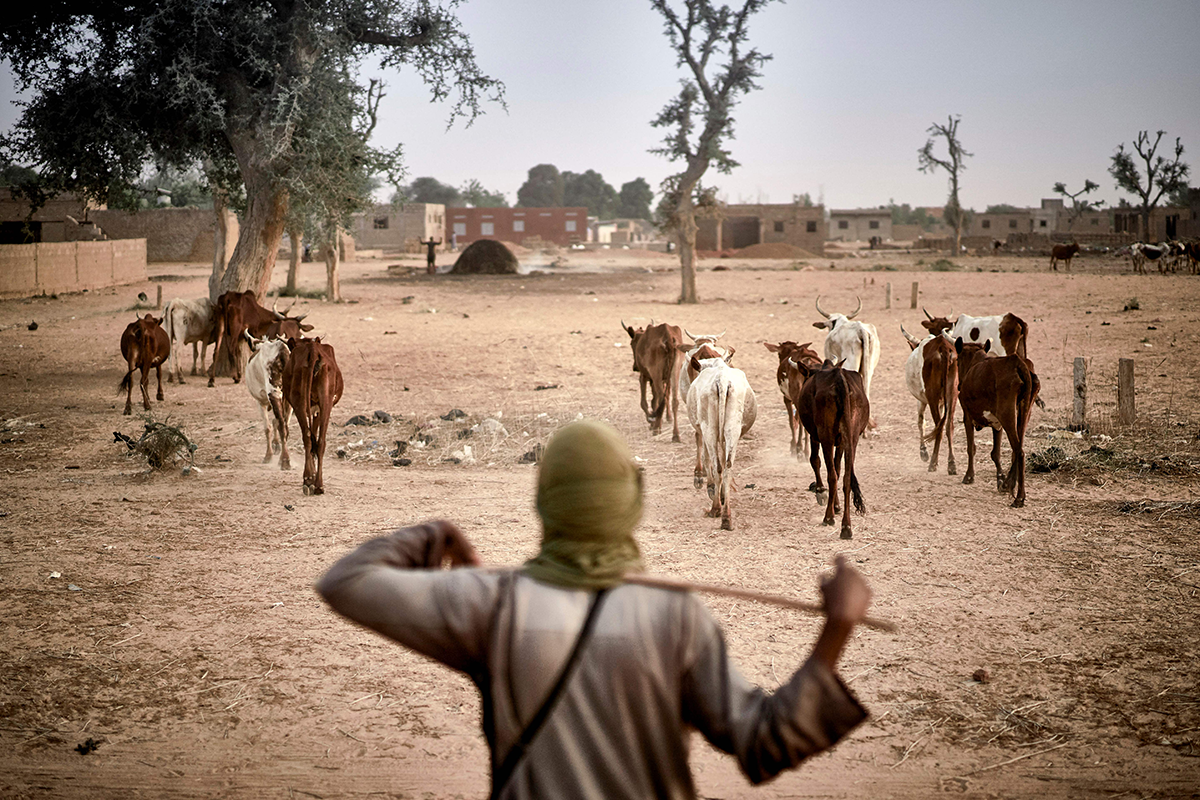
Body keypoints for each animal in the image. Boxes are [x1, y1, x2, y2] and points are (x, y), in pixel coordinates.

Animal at [243, 333, 290, 470]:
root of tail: (282, 350)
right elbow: (275, 422)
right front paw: (276, 446)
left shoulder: (260, 402)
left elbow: (267, 428)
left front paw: (268, 455)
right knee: (285, 425)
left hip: (274, 393)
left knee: (282, 425)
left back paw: (285, 460)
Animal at [286, 335, 348, 494]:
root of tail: (312, 349)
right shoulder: (318, 409)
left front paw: (310, 477)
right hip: (325, 401)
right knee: (319, 441)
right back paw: (318, 484)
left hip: (299, 403)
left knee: (308, 437)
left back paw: (308, 480)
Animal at [686, 357, 758, 532]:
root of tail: (722, 380)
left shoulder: (702, 430)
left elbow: (706, 459)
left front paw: (711, 488)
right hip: (732, 429)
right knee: (727, 467)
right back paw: (726, 517)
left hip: (709, 429)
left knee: (717, 466)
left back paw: (716, 509)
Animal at [796, 359, 873, 542]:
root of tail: (840, 378)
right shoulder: (842, 442)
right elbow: (838, 469)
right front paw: (837, 505)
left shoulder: (815, 435)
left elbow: (815, 461)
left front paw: (821, 492)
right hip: (852, 437)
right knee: (845, 478)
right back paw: (846, 527)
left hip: (826, 436)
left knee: (831, 475)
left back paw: (829, 518)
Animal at [950, 338, 1036, 506]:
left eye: (957, 361)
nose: (958, 385)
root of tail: (1017, 362)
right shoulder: (997, 425)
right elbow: (995, 453)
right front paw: (1000, 479)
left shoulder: (967, 416)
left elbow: (971, 448)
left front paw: (969, 476)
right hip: (1023, 413)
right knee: (1017, 448)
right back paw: (1009, 484)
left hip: (1007, 415)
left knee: (1019, 451)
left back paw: (1019, 497)